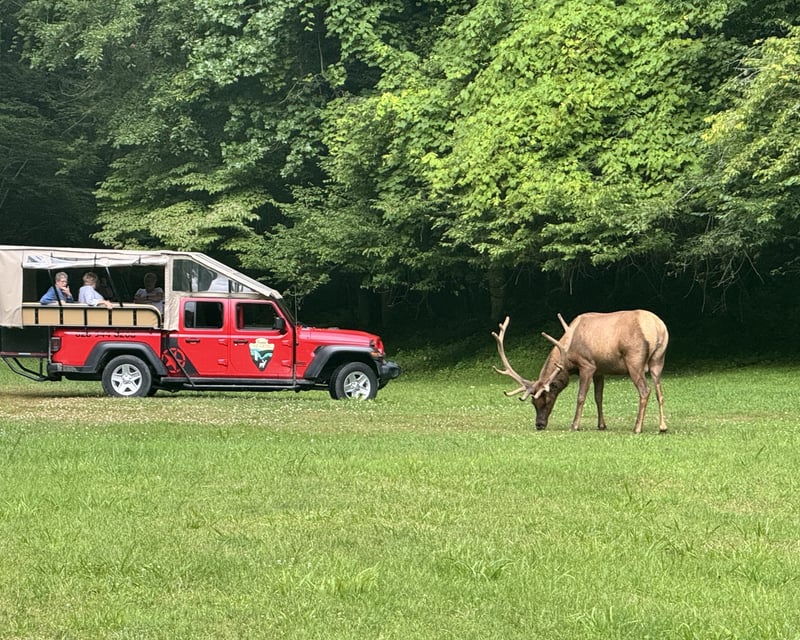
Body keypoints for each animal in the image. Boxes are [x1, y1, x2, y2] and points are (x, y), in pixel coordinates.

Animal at [492, 310, 668, 434]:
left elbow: (581, 397)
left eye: (548, 400)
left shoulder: (588, 365)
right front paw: (601, 425)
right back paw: (663, 426)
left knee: (645, 391)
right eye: (533, 403)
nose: (539, 424)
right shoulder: (599, 370)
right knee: (659, 392)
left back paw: (637, 427)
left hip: (634, 360)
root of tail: (658, 328)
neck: (568, 358)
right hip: (658, 360)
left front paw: (575, 425)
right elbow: (598, 397)